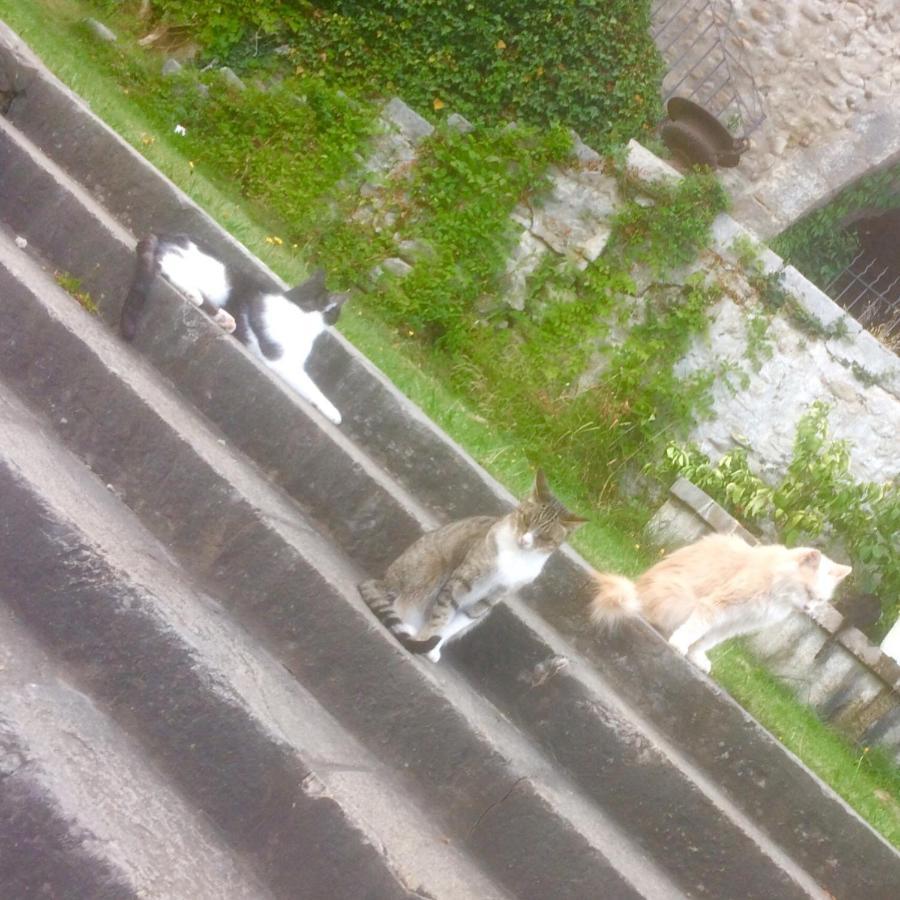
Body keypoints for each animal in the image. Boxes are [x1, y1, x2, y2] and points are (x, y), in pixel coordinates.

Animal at [118, 236, 346, 426]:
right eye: (337, 313)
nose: (337, 318)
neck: (300, 310)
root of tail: (164, 236)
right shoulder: (280, 360)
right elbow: (311, 386)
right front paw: (334, 412)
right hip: (214, 277)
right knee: (166, 267)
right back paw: (195, 296)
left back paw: (225, 319)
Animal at [592, 532, 852, 672]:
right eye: (807, 591)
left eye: (819, 600)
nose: (809, 609)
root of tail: (638, 589)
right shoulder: (717, 606)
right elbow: (694, 630)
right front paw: (679, 644)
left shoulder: (734, 623)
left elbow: (707, 640)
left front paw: (696, 657)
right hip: (677, 596)